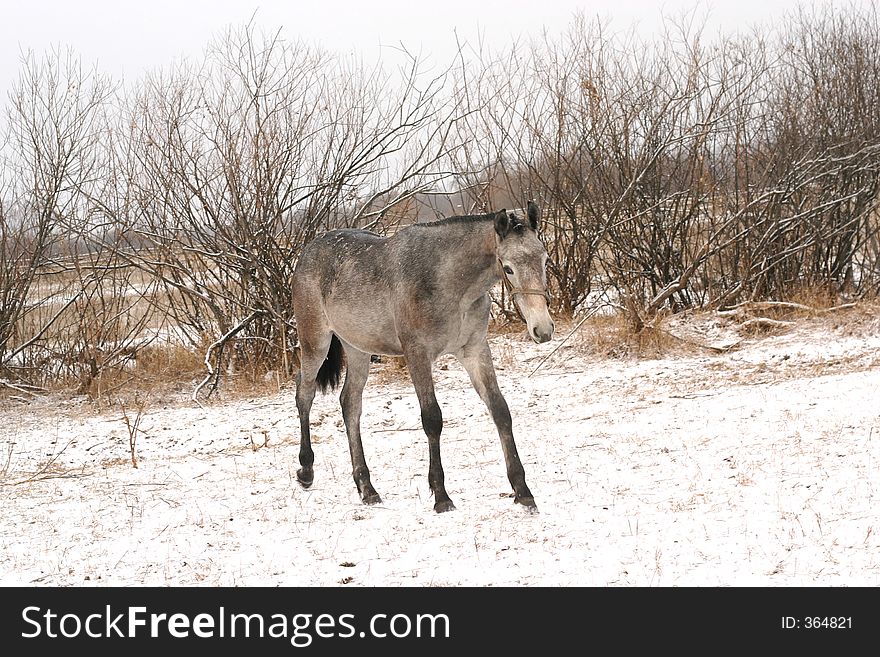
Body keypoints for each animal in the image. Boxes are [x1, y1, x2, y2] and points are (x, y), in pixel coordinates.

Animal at [296, 200, 556, 512]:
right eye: (508, 268)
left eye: (544, 260)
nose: (542, 329)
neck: (448, 282)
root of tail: (308, 251)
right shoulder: (417, 354)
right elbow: (432, 419)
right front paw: (441, 496)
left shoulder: (475, 350)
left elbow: (500, 411)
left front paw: (523, 491)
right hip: (315, 342)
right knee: (305, 395)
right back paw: (306, 471)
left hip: (357, 349)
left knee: (350, 404)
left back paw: (367, 488)